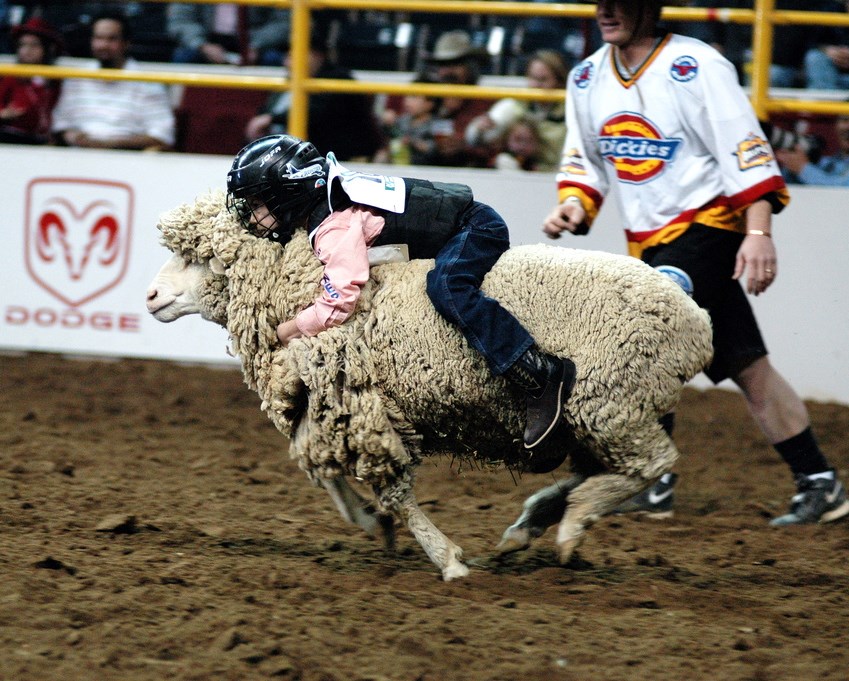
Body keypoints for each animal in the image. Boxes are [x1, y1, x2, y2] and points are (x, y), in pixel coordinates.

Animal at [147, 191, 716, 580]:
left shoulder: (358, 404)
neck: (296, 284)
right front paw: (373, 524)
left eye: (203, 259)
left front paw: (447, 559)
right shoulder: (329, 408)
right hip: (601, 414)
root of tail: (696, 321)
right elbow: (324, 474)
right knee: (605, 468)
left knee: (650, 464)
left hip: (612, 400)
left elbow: (393, 493)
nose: (150, 296)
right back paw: (532, 524)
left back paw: (573, 522)